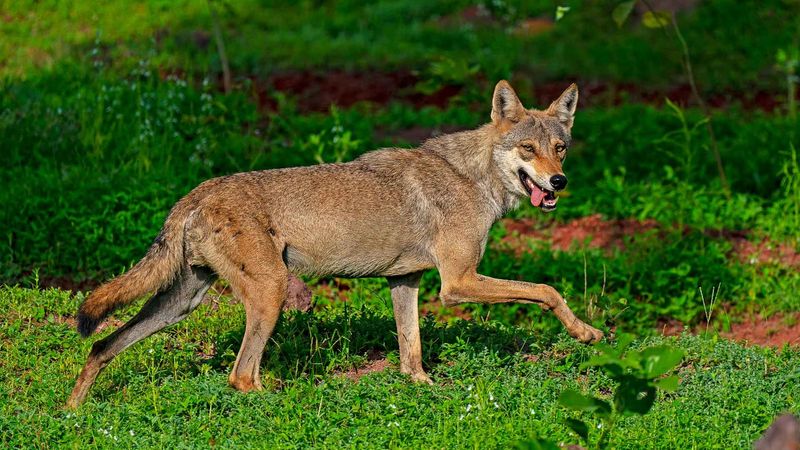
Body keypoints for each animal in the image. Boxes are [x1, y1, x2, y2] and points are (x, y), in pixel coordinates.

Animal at [69, 80, 604, 408]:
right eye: (528, 149)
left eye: (560, 148)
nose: (558, 182)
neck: (472, 178)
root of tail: (197, 191)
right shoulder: (457, 283)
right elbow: (546, 291)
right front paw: (587, 333)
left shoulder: (405, 282)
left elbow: (411, 353)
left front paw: (424, 388)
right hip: (269, 295)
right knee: (242, 378)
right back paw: (291, 400)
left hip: (180, 304)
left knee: (101, 345)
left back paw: (72, 415)